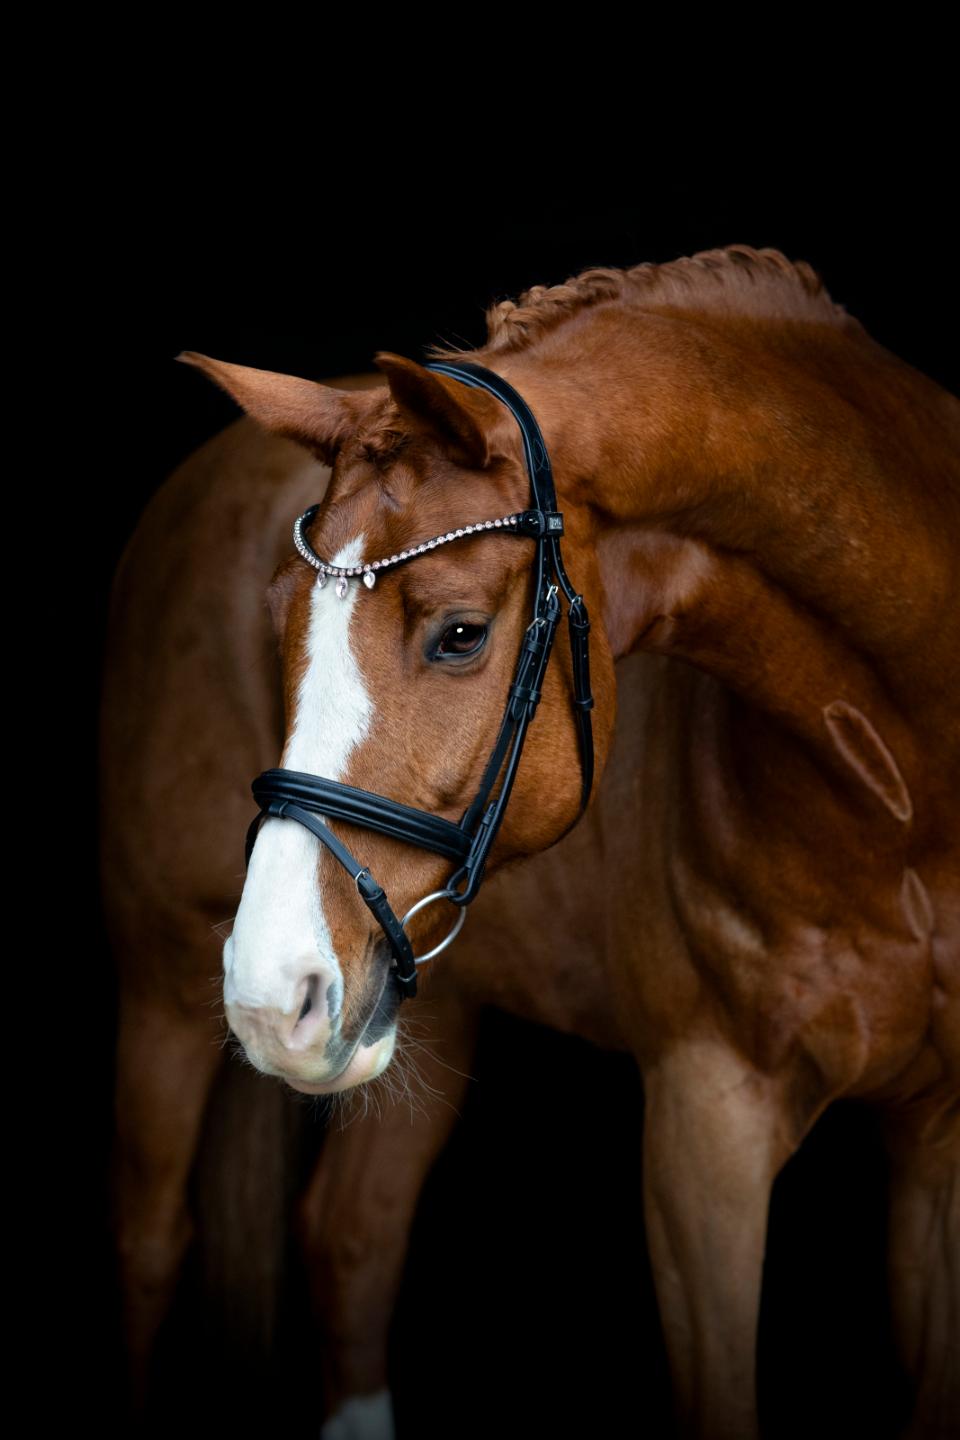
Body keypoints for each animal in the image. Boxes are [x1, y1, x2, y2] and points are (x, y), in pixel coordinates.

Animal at [99, 245, 959, 1439]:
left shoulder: (935, 1145)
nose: (273, 994)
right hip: (164, 980)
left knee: (351, 1235)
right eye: (277, 616)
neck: (903, 805)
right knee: (148, 1249)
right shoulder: (707, 1121)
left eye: (460, 633)